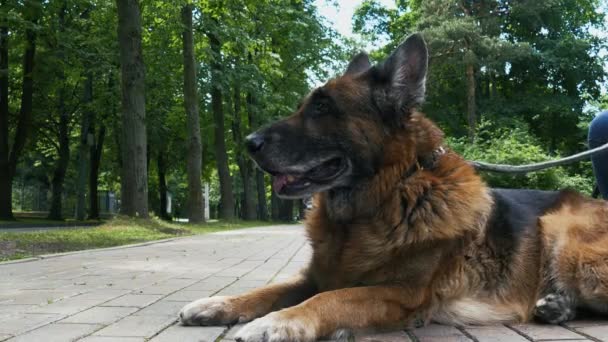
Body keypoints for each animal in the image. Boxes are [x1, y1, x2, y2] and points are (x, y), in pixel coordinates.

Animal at [179, 34, 608, 342]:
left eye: (322, 108)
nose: (248, 144)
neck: (389, 195)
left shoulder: (400, 293)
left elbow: (331, 297)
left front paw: (280, 321)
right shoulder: (315, 275)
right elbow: (267, 290)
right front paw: (217, 303)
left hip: (563, 233)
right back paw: (557, 306)